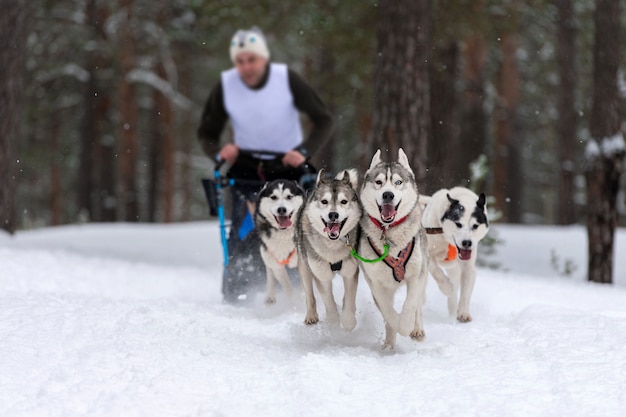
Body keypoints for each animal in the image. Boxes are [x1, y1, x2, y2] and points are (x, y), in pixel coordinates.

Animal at [294, 167, 360, 330]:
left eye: (344, 201)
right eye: (324, 201)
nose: (333, 214)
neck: (332, 247)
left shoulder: (350, 272)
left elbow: (350, 298)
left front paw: (348, 322)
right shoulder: (321, 274)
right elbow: (328, 300)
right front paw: (333, 322)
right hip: (304, 265)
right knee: (309, 294)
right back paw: (311, 316)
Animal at [356, 148, 428, 350]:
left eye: (398, 182)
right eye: (379, 182)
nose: (388, 195)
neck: (389, 233)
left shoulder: (416, 275)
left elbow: (410, 304)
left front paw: (406, 325)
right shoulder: (376, 283)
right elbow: (388, 312)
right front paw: (397, 326)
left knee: (418, 305)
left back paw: (416, 329)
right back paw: (389, 343)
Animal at [420, 186, 488, 322]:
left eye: (475, 226)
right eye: (458, 224)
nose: (467, 243)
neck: (448, 242)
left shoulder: (468, 268)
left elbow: (465, 293)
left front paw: (463, 312)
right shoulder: (428, 254)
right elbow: (437, 272)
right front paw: (447, 288)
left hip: (454, 270)